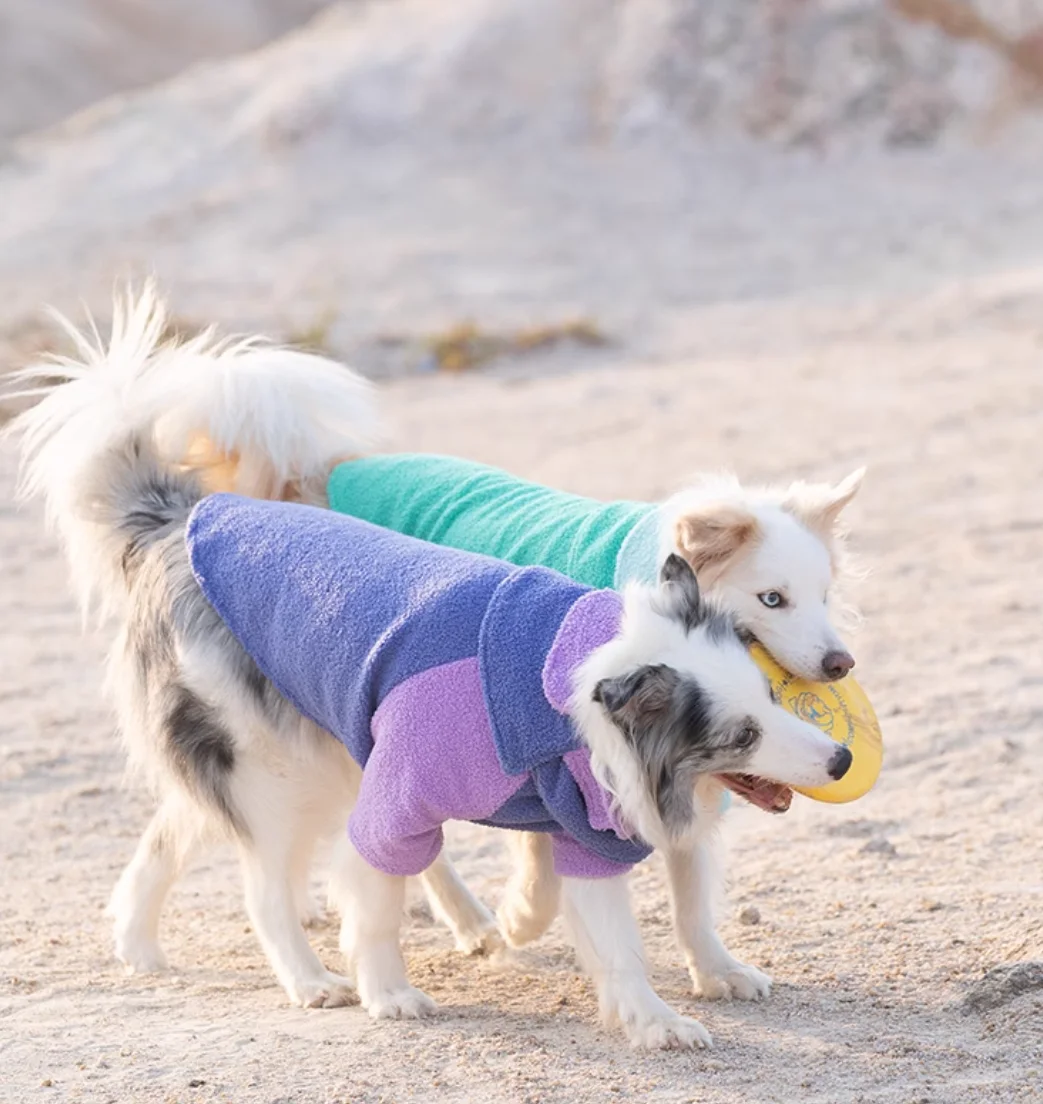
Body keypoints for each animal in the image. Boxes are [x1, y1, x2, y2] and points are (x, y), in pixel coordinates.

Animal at [8, 289, 852, 1046]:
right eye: (741, 733)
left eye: (770, 700)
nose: (843, 755)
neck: (563, 687)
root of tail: (178, 520)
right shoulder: (407, 794)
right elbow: (386, 896)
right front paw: (392, 990)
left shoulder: (600, 822)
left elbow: (652, 919)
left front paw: (681, 999)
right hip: (279, 766)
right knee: (261, 885)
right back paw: (316, 975)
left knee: (173, 831)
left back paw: (139, 943)